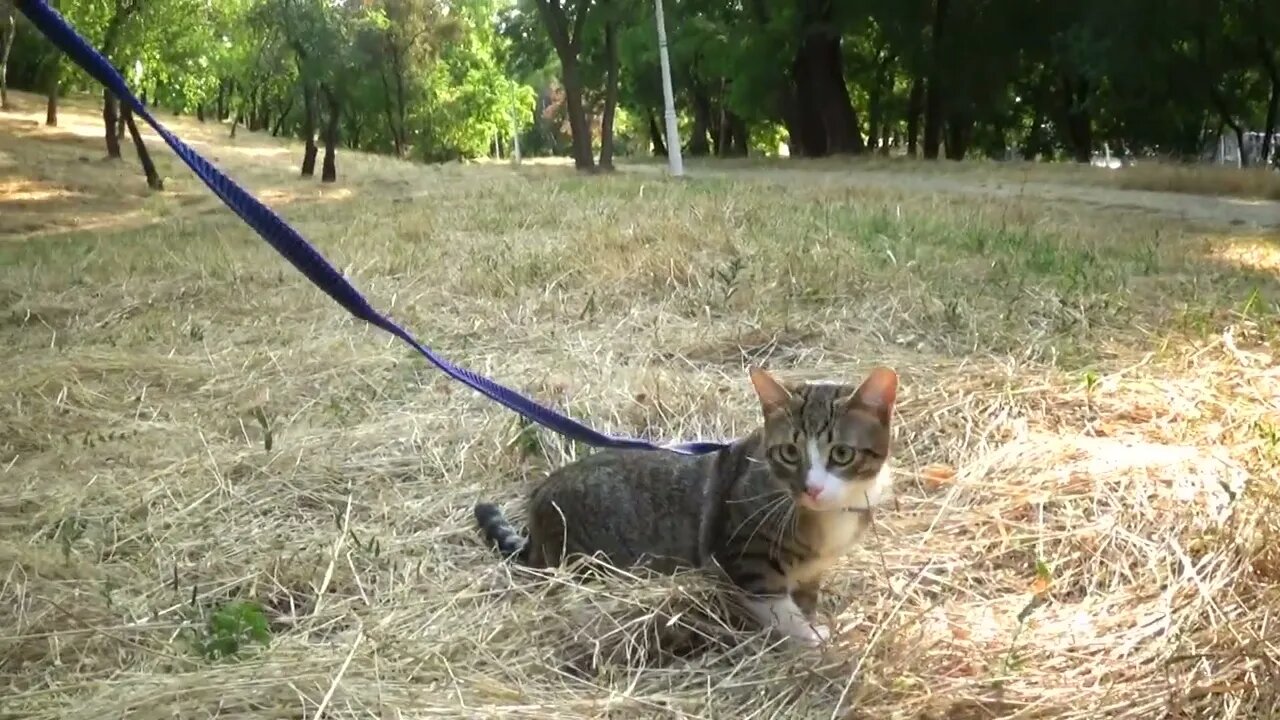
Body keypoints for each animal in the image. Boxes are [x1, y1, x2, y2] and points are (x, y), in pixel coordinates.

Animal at [473, 363, 901, 645]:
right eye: (789, 453)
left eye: (842, 454)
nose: (812, 489)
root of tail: (539, 503)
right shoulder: (739, 558)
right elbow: (777, 605)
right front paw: (810, 637)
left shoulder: (813, 569)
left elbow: (806, 595)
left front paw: (813, 619)